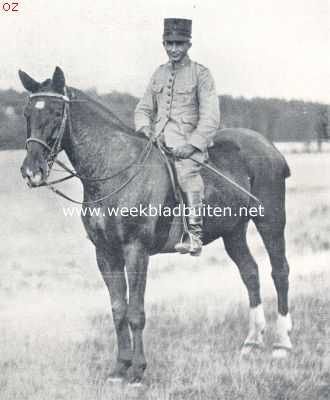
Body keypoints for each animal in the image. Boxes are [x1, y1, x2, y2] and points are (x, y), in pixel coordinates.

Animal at [18, 68, 292, 384]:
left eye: (55, 111)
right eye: (27, 113)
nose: (31, 171)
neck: (114, 167)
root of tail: (270, 147)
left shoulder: (135, 251)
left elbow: (136, 312)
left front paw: (137, 370)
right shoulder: (105, 253)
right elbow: (118, 310)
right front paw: (119, 368)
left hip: (270, 220)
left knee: (279, 271)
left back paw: (282, 344)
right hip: (233, 231)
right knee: (250, 273)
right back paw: (252, 342)